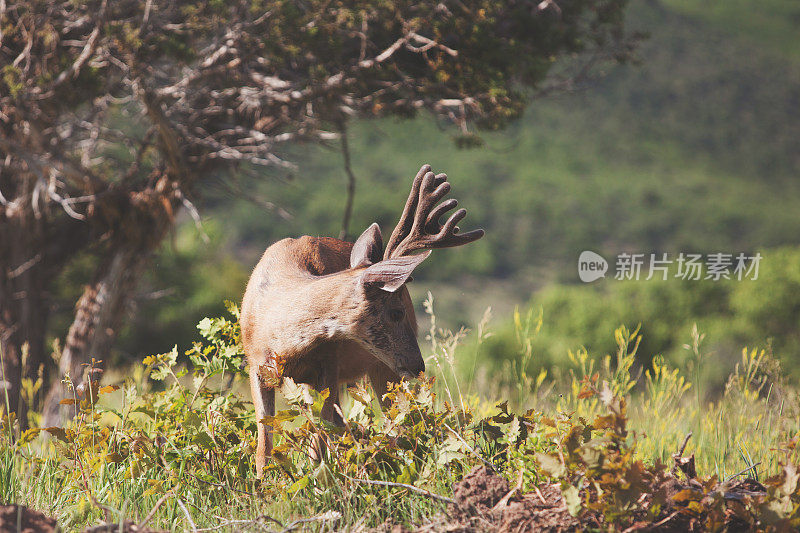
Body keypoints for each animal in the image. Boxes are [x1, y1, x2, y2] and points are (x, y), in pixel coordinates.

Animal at [241, 164, 484, 476]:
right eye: (395, 312)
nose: (419, 365)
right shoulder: (256, 367)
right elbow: (265, 447)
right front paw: (262, 484)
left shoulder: (329, 365)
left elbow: (321, 439)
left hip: (384, 370)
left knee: (402, 423)